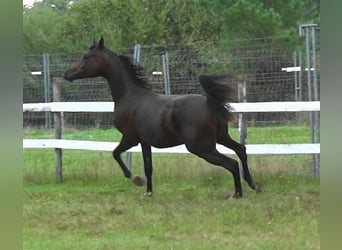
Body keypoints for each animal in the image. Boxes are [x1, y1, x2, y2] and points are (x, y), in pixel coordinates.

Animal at [64, 37, 260, 198]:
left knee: (232, 163)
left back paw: (237, 194)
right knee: (241, 150)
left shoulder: (130, 138)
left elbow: (116, 153)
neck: (130, 96)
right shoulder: (144, 142)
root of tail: (209, 102)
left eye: (86, 56)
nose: (67, 73)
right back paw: (253, 185)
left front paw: (135, 179)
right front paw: (148, 192)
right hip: (220, 137)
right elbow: (148, 166)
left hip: (201, 147)